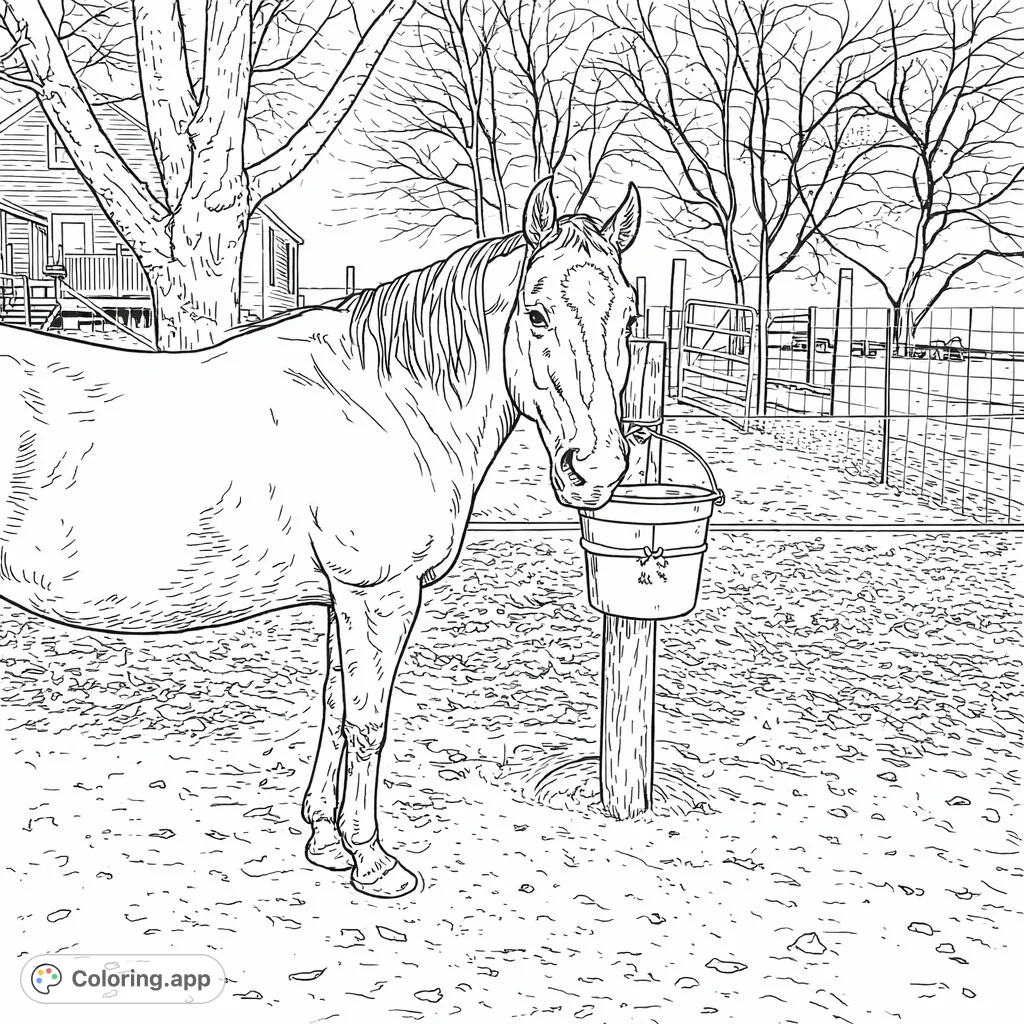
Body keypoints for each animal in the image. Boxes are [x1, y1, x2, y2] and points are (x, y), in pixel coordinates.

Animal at [0, 178, 641, 898]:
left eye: (627, 320)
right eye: (536, 315)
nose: (595, 470)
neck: (384, 400)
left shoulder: (345, 597)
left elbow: (335, 708)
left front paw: (327, 841)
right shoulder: (379, 593)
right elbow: (367, 721)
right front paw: (374, 860)